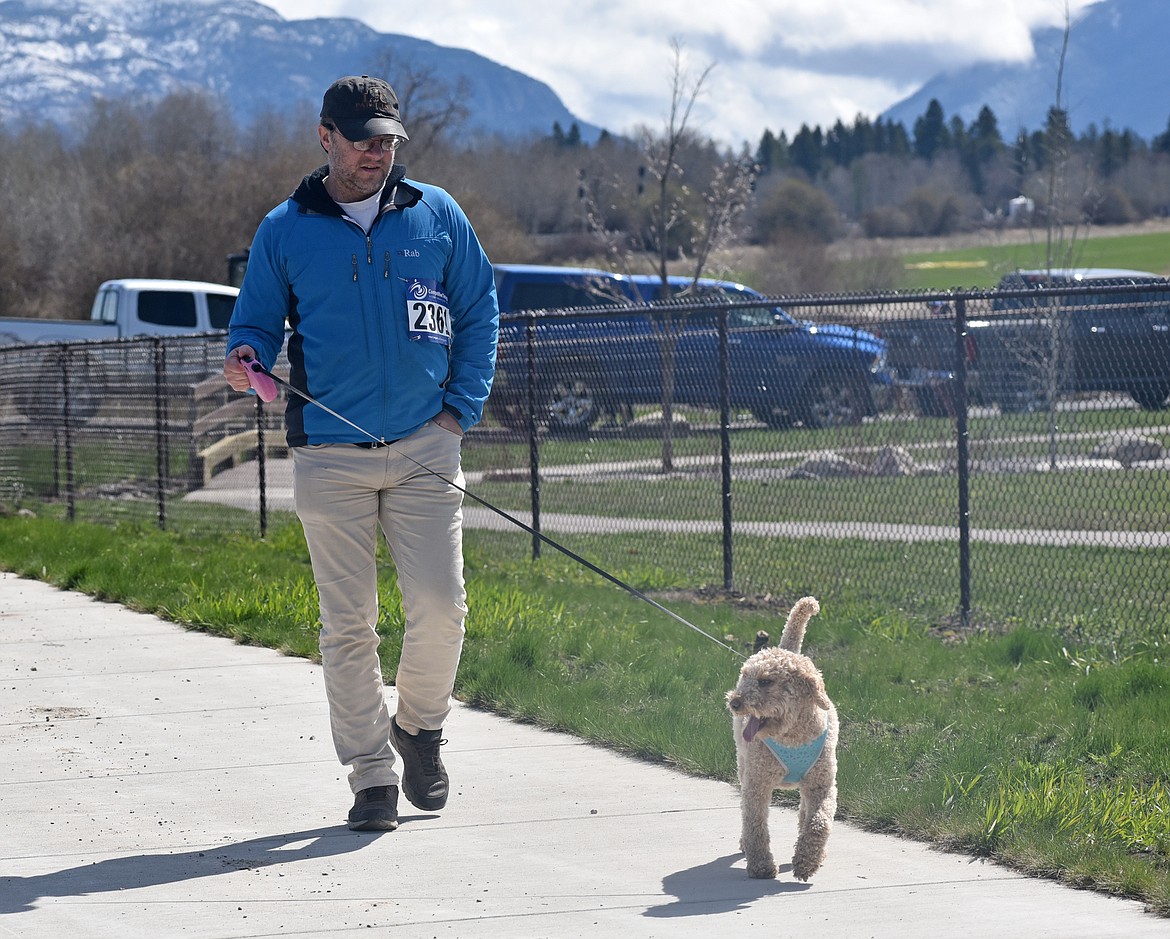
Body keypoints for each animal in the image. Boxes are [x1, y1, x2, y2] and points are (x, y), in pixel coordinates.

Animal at [725, 594, 837, 879]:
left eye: (766, 681)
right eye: (744, 676)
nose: (734, 702)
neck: (792, 736)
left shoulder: (822, 785)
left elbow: (819, 823)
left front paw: (807, 861)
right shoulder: (757, 785)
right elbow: (755, 825)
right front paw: (761, 866)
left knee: (805, 812)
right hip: (743, 764)